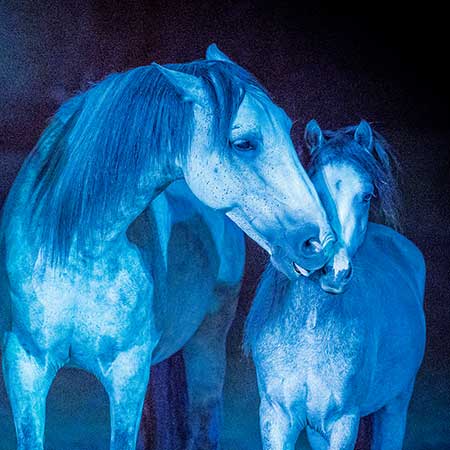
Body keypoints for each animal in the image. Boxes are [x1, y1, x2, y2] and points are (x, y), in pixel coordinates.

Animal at [0, 43, 334, 450]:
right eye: (244, 144)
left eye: (286, 129)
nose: (320, 242)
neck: (77, 250)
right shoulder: (25, 366)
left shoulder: (127, 372)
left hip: (206, 345)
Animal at [246, 119, 426, 450]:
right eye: (314, 191)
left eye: (366, 196)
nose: (334, 270)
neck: (309, 326)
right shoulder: (277, 418)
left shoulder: (343, 422)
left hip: (395, 406)